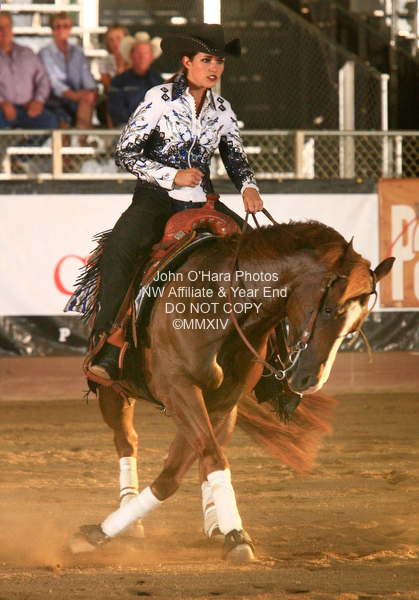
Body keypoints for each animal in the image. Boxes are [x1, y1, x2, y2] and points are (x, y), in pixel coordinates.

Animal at [69, 218, 394, 562]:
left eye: (356, 326)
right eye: (329, 309)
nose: (310, 379)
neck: (223, 306)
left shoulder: (223, 402)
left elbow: (184, 468)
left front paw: (231, 531)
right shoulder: (178, 388)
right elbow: (203, 460)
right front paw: (97, 533)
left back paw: (213, 522)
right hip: (114, 391)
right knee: (126, 440)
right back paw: (131, 509)